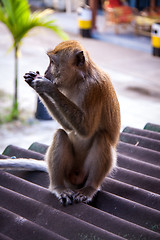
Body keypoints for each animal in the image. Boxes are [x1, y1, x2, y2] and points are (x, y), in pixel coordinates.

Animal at [0, 40, 120, 205]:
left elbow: (86, 129)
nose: (45, 72)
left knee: (102, 137)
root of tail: (75, 180)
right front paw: (35, 83)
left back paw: (90, 188)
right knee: (60, 135)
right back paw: (58, 187)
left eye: (52, 62)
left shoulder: (94, 89)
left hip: (84, 174)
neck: (80, 79)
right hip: (68, 172)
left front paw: (47, 86)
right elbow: (68, 127)